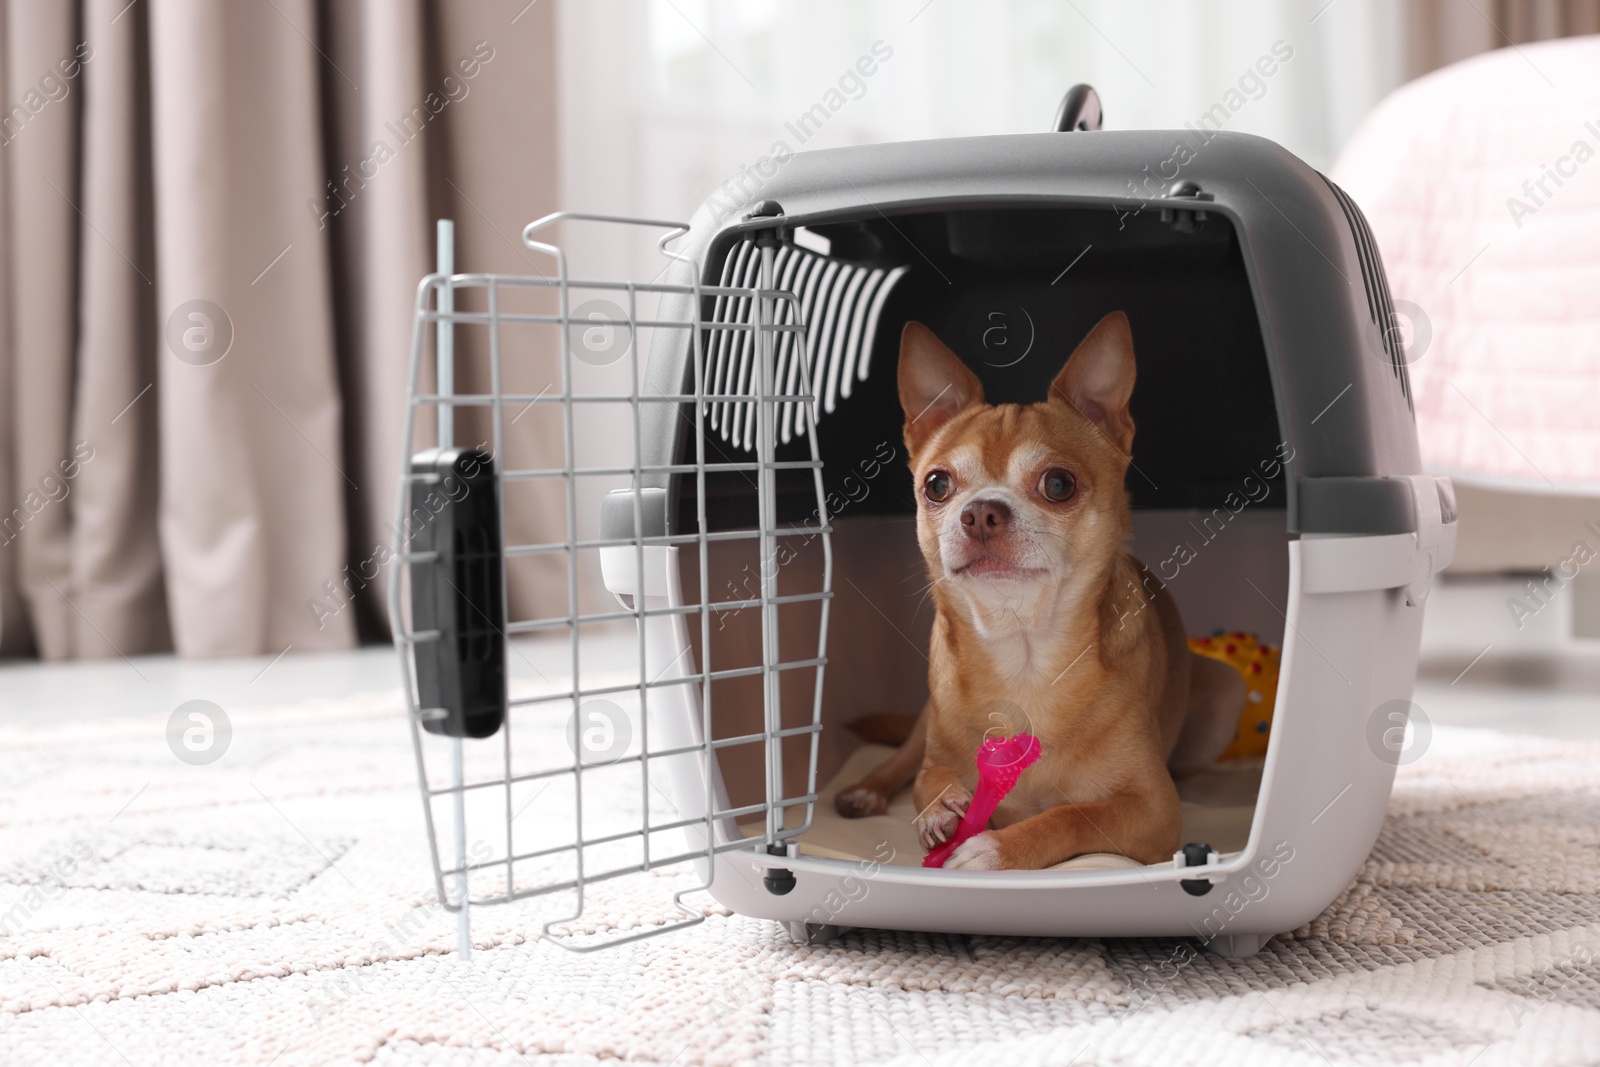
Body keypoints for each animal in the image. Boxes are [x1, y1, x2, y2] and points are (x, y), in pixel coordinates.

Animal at [832, 313, 1241, 870]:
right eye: (936, 485)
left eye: (1059, 485)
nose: (981, 512)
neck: (1023, 650)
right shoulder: (935, 760)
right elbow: (929, 781)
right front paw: (940, 811)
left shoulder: (1155, 810)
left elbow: (1073, 815)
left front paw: (997, 849)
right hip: (924, 719)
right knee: (903, 759)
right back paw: (866, 790)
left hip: (1225, 695)